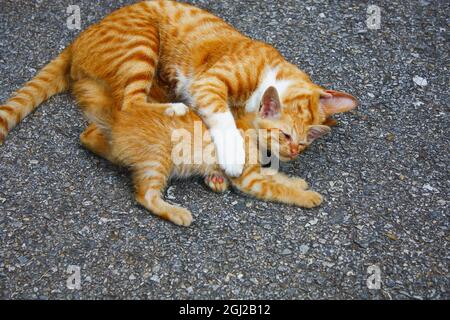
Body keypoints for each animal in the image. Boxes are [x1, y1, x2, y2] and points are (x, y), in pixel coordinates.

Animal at [0, 0, 358, 178]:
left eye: (307, 143)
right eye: (299, 126)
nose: (293, 151)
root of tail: (77, 39)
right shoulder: (211, 82)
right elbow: (224, 118)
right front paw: (233, 154)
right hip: (141, 43)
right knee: (129, 103)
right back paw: (175, 107)